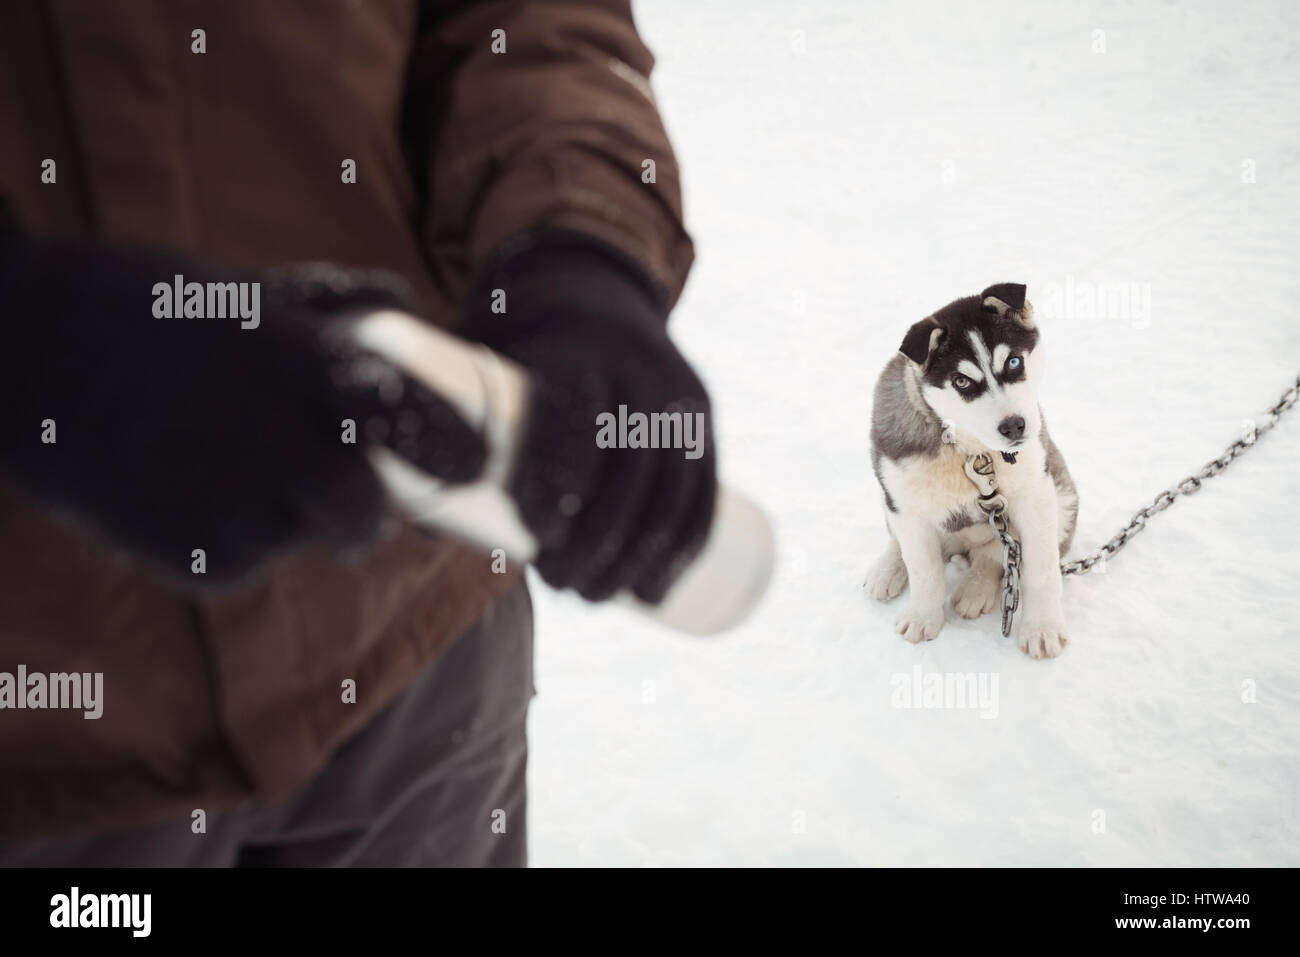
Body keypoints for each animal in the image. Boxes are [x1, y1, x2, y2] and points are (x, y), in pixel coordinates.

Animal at [868, 283, 1081, 657]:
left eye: (1013, 361)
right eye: (962, 382)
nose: (1014, 427)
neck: (969, 451)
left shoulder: (1036, 494)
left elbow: (1041, 571)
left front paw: (1043, 629)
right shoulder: (903, 501)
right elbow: (922, 567)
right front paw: (923, 617)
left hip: (1062, 497)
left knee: (995, 554)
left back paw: (976, 588)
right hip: (889, 495)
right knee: (902, 541)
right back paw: (887, 569)